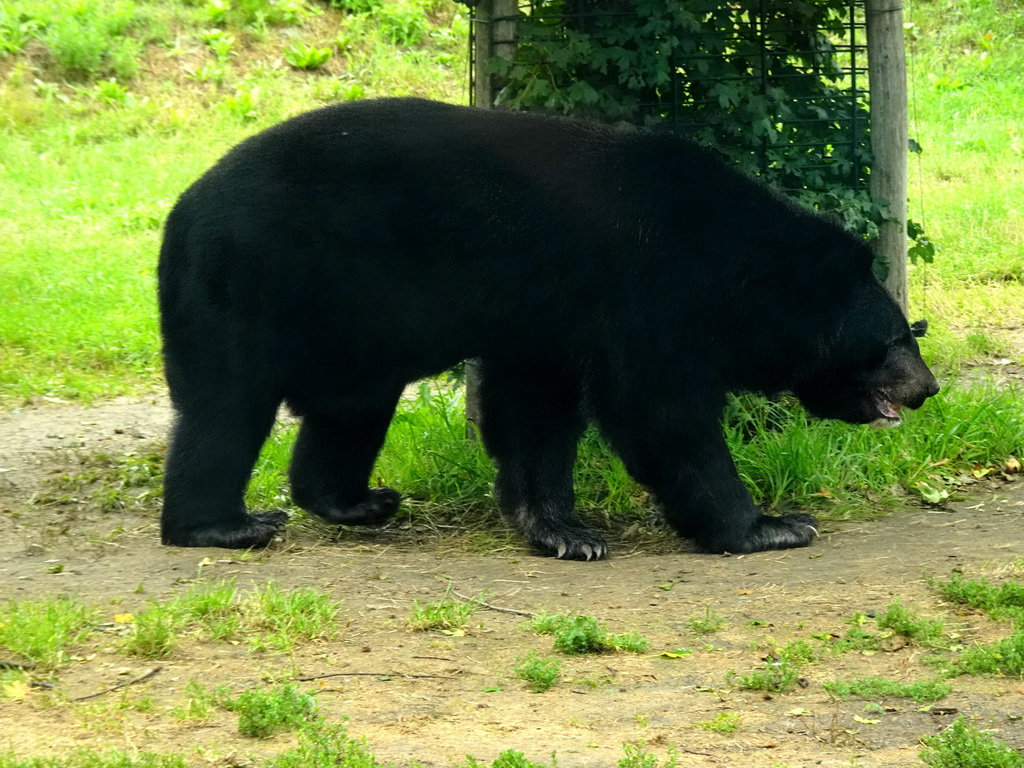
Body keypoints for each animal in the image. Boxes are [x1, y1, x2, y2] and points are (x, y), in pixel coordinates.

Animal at [157, 100, 937, 561]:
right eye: (895, 341)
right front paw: (770, 525)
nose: (927, 389)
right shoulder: (649, 293)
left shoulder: (547, 317)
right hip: (250, 283)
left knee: (350, 409)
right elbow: (659, 412)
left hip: (352, 327)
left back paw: (355, 501)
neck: (736, 268)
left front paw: (562, 530)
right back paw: (225, 525)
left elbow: (536, 412)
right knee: (226, 407)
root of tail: (183, 205)